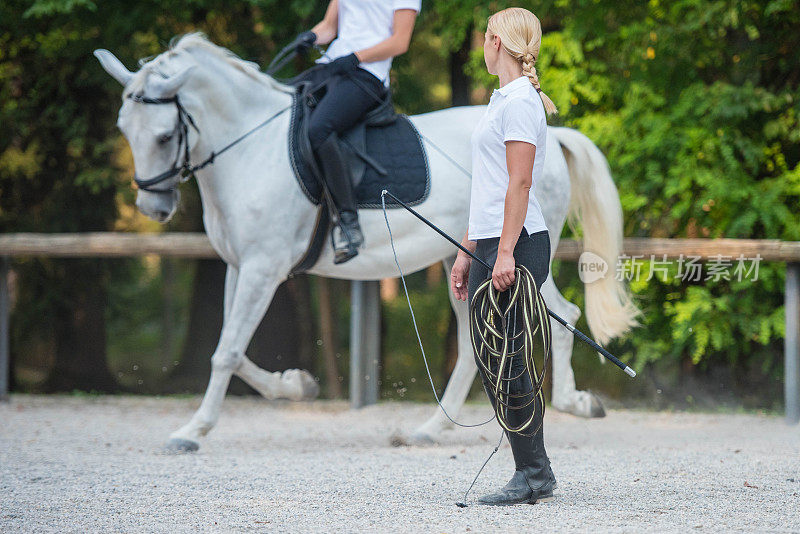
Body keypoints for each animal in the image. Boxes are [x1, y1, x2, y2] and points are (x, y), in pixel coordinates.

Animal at [94, 34, 640, 452]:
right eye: (123, 128)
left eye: (164, 137)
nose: (153, 208)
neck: (249, 146)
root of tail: (552, 134)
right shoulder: (238, 265)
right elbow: (231, 345)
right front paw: (297, 386)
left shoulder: (263, 267)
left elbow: (227, 351)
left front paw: (192, 431)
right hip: (461, 261)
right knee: (476, 343)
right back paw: (430, 429)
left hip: (513, 257)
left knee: (563, 315)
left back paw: (576, 403)